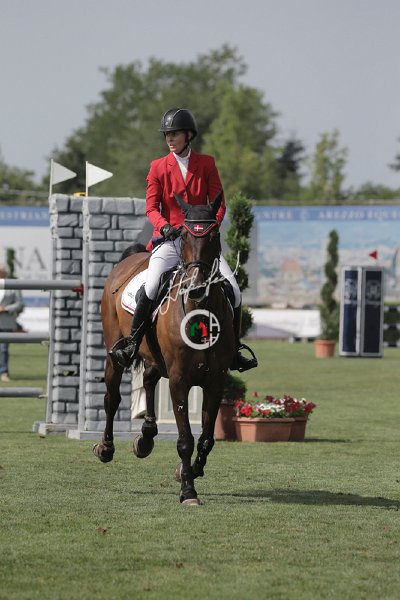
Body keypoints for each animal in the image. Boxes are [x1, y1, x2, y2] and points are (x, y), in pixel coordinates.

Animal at [94, 192, 235, 505]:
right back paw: (106, 448)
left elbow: (207, 437)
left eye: (214, 235)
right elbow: (185, 439)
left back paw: (146, 437)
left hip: (154, 359)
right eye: (183, 235)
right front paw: (188, 491)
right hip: (115, 353)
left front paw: (192, 470)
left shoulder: (215, 380)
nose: (197, 287)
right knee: (112, 398)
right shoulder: (180, 380)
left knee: (148, 380)